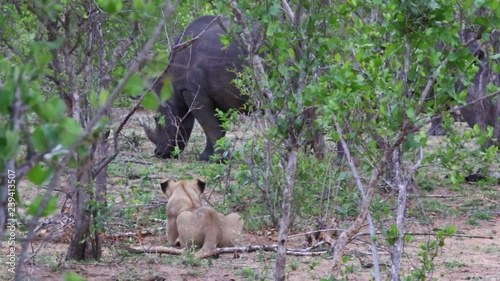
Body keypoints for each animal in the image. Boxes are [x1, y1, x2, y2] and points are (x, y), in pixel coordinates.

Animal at [142, 15, 256, 160]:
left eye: (158, 119)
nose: (158, 153)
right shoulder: (219, 93)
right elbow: (217, 125)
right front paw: (208, 157)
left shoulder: (193, 90)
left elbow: (209, 124)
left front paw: (219, 159)